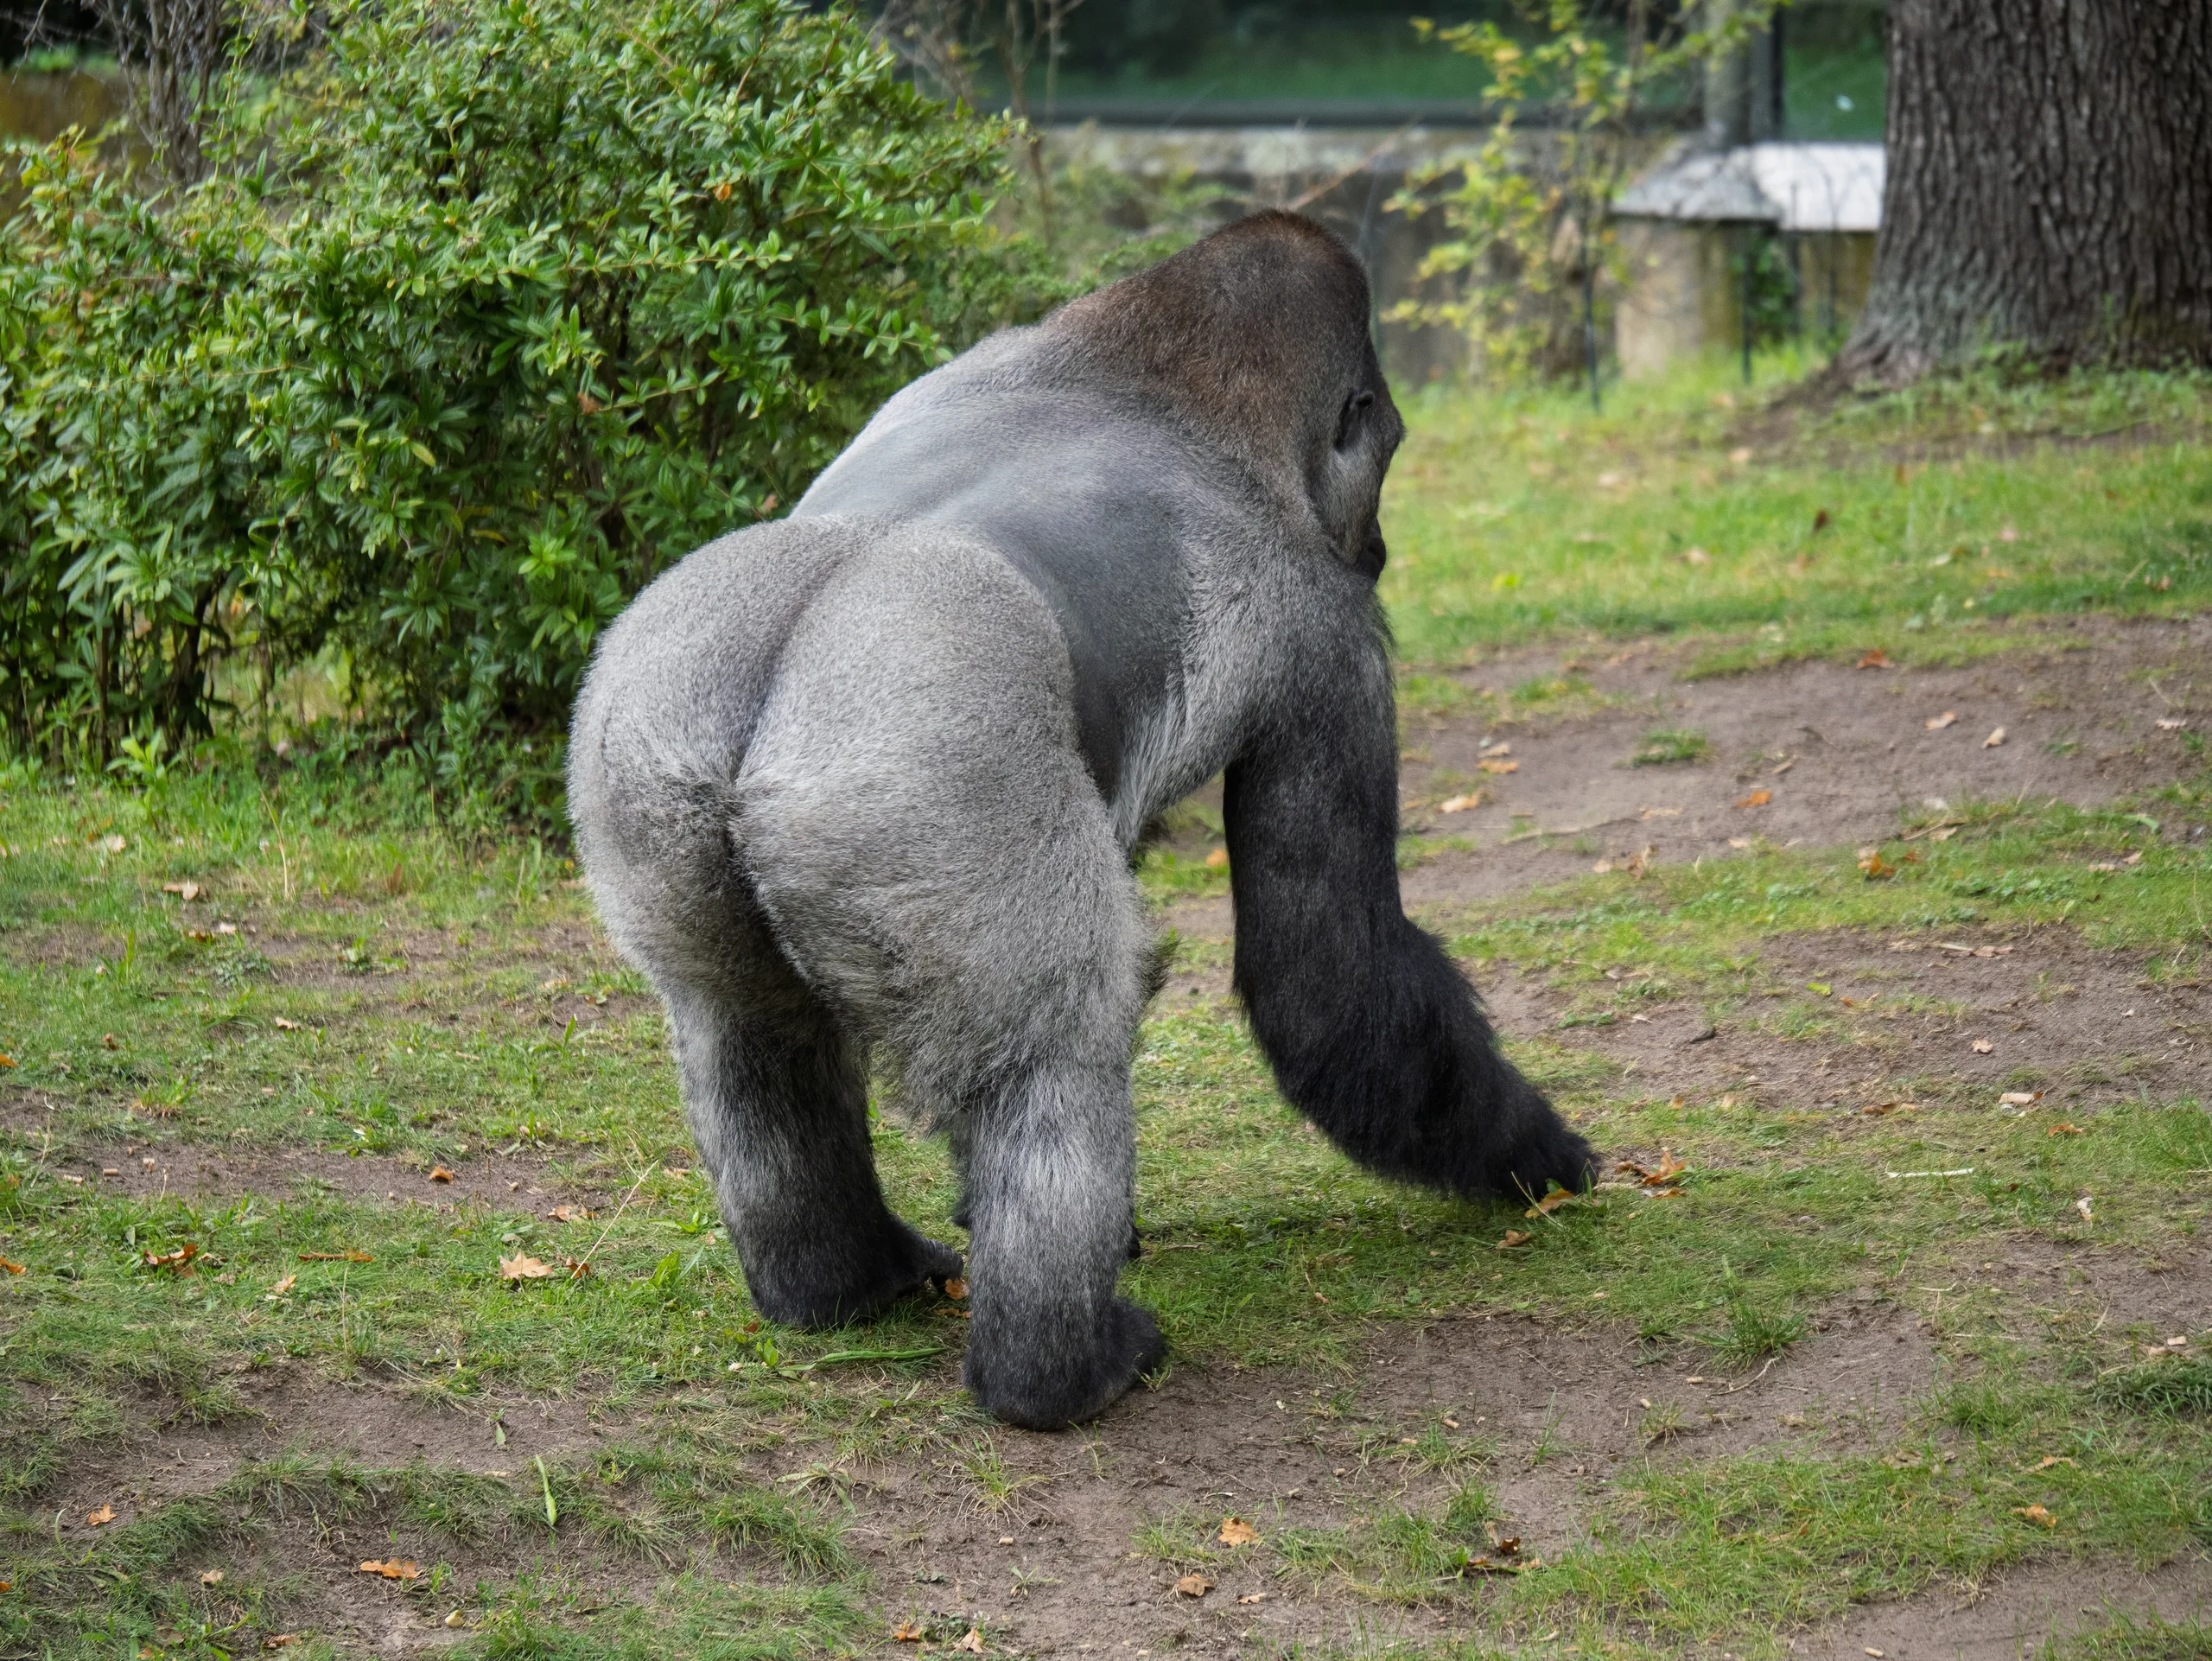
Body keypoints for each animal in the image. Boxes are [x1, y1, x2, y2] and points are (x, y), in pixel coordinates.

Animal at [567, 211, 1597, 1431]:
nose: (1382, 540)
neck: (1151, 380)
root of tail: (759, 714)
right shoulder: (1330, 635)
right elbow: (1327, 981)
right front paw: (1535, 1156)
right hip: (913, 782)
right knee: (1049, 1053)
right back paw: (1060, 1368)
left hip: (649, 769)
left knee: (749, 1031)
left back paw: (841, 1282)